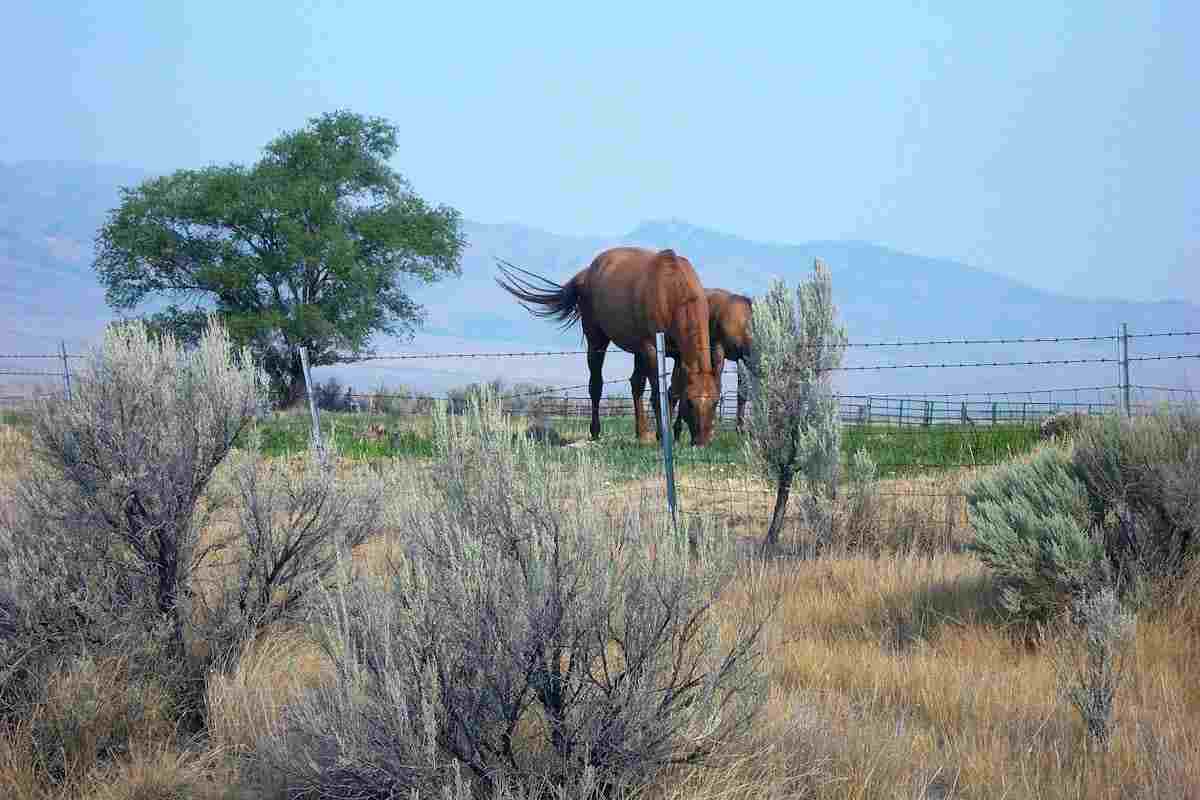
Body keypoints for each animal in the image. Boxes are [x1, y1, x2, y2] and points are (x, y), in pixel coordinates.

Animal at [492, 247, 715, 448]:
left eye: (715, 402)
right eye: (691, 403)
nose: (701, 442)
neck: (672, 289)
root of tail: (586, 274)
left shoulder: (678, 355)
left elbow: (673, 393)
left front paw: (673, 434)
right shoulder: (652, 351)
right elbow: (657, 394)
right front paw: (663, 435)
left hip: (637, 351)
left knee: (635, 384)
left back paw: (641, 433)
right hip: (597, 342)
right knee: (596, 385)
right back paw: (596, 431)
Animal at [667, 287, 748, 438]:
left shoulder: (741, 358)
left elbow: (742, 391)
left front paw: (740, 428)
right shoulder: (718, 348)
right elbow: (718, 383)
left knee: (674, 390)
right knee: (675, 391)